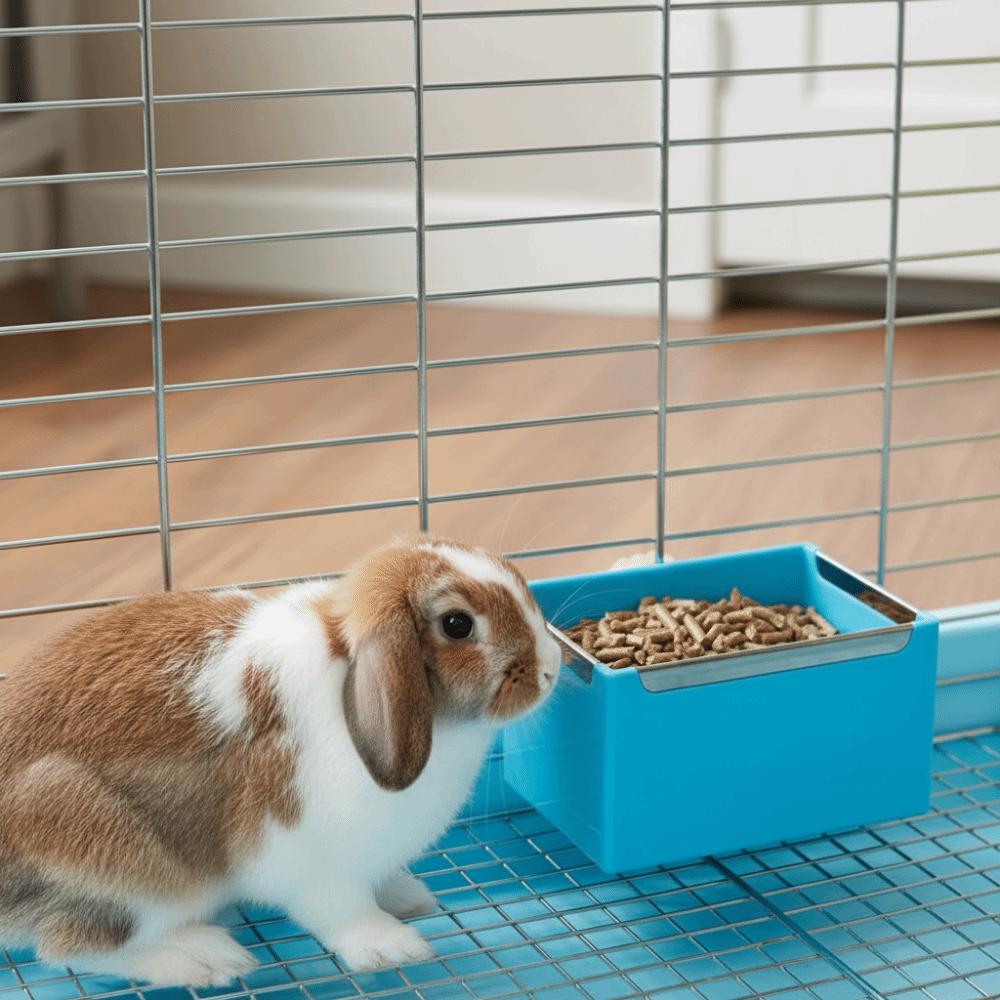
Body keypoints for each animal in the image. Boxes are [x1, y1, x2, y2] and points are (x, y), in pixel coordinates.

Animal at [0, 535, 561, 986]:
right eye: (457, 624)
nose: (552, 669)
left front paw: (410, 896)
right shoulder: (307, 862)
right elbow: (342, 912)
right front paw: (392, 947)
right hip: (120, 859)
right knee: (70, 945)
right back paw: (207, 958)